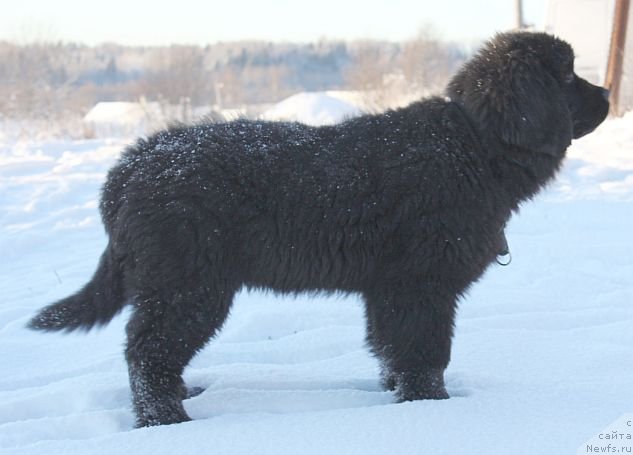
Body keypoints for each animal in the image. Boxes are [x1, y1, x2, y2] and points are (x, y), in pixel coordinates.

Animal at [28, 33, 608, 428]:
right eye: (566, 77)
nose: (606, 93)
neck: (475, 145)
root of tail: (133, 162)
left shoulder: (388, 290)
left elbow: (393, 349)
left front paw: (397, 396)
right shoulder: (421, 286)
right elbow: (427, 352)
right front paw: (430, 409)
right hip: (189, 285)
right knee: (147, 351)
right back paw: (166, 422)